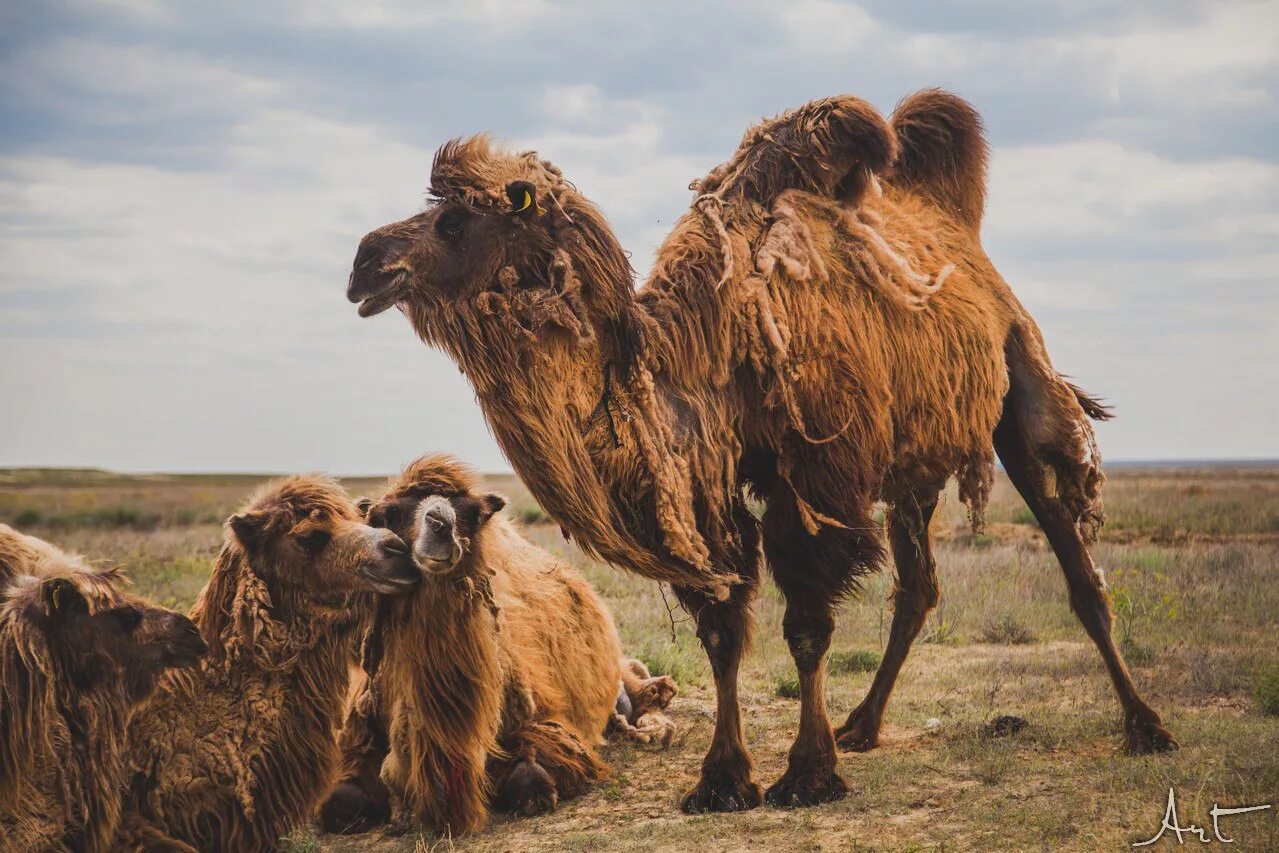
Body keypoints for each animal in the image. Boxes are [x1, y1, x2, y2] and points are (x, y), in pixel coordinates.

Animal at [319, 457, 675, 838]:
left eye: (472, 513)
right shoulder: (357, 738)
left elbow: (531, 781)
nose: (440, 525)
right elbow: (339, 803)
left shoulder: (548, 727)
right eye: (389, 514)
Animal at [345, 90, 1171, 813]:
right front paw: (722, 778)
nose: (362, 263)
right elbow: (721, 631)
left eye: (453, 221)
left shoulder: (816, 478)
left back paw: (1144, 725)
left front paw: (805, 773)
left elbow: (804, 625)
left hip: (1016, 384)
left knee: (1075, 565)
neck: (707, 342)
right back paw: (863, 724)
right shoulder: (710, 490)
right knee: (918, 588)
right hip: (909, 464)